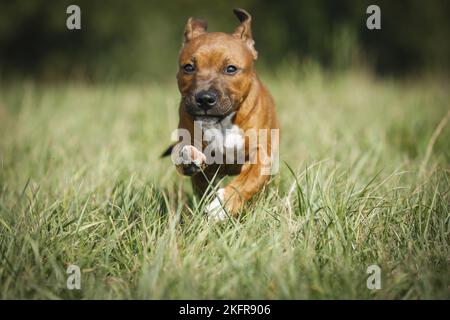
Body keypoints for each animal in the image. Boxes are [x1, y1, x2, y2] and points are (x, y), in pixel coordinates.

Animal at [165, 8, 278, 221]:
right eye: (188, 67)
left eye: (231, 69)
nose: (204, 98)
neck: (222, 123)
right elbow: (185, 156)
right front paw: (188, 155)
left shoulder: (261, 155)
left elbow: (247, 182)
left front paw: (221, 207)